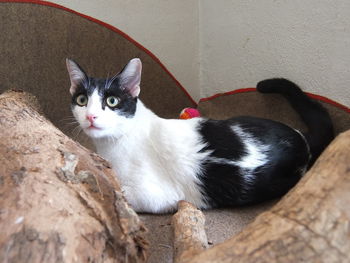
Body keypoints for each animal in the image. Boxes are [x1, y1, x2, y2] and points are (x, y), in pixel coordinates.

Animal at [65, 57, 334, 214]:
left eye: (112, 101)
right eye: (82, 100)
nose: (91, 116)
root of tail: (300, 138)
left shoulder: (157, 195)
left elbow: (121, 192)